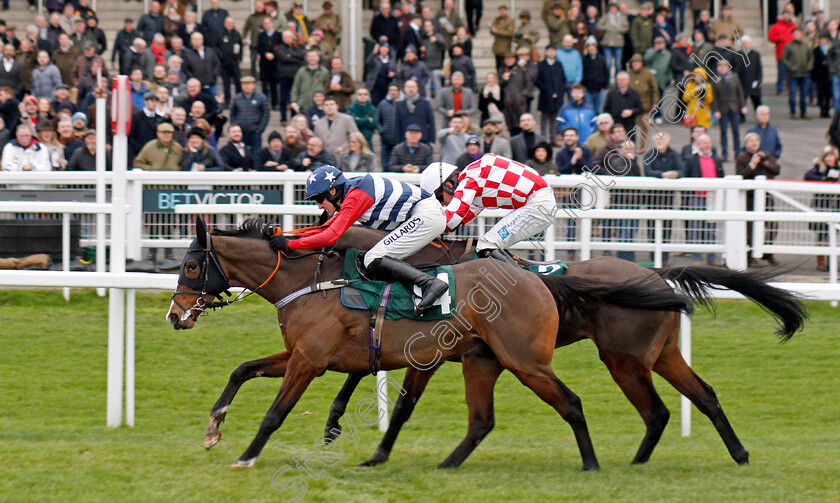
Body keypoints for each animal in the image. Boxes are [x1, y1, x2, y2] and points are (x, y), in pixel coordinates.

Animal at [164, 219, 688, 470]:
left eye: (190, 266)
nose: (174, 315)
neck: (310, 281)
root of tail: (536, 281)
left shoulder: (310, 361)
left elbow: (277, 412)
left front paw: (247, 455)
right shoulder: (302, 355)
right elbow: (242, 369)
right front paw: (213, 429)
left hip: (532, 360)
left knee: (574, 403)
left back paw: (592, 464)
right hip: (486, 360)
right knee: (484, 420)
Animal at [316, 228, 808, 468]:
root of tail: (655, 275)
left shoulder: (432, 349)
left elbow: (392, 395)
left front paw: (354, 437)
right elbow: (359, 369)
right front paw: (334, 424)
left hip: (624, 360)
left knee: (657, 411)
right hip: (664, 354)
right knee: (701, 396)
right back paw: (735, 454)